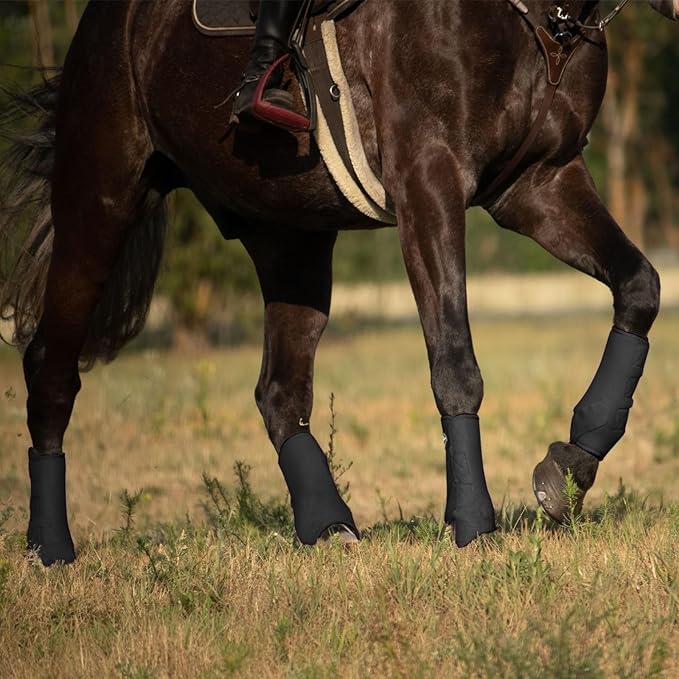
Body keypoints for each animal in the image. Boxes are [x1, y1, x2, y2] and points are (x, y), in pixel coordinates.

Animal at [1, 0, 676, 566]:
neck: (540, 23)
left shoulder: (539, 184)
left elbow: (639, 288)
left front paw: (570, 467)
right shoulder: (428, 185)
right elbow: (455, 364)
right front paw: (473, 524)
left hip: (289, 237)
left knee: (280, 391)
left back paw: (328, 525)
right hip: (101, 204)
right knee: (51, 368)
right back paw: (49, 547)